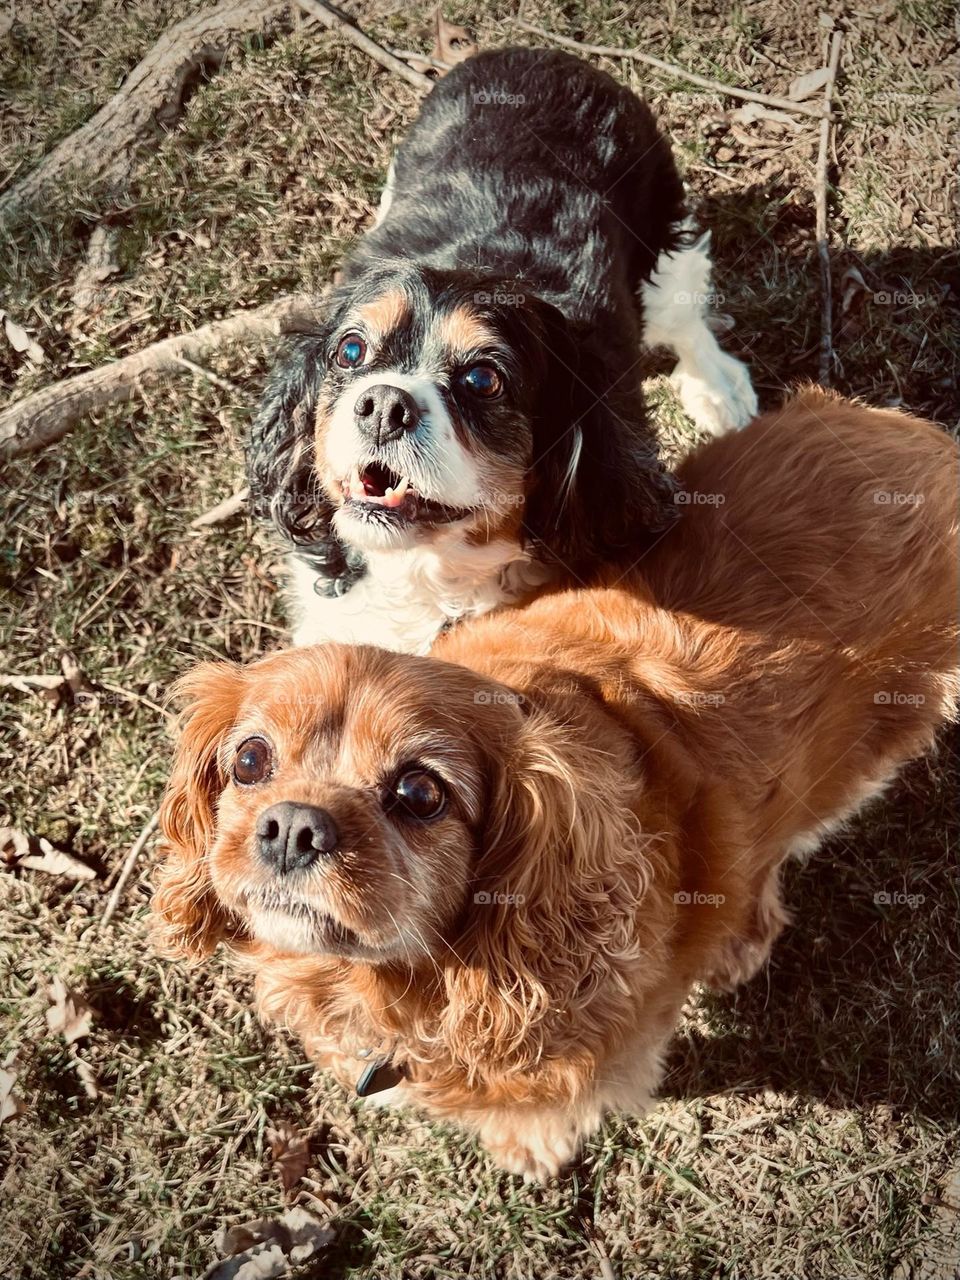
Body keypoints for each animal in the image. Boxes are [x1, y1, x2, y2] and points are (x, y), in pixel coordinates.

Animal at [154, 386, 957, 1177]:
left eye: (420, 794)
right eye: (249, 760)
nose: (293, 826)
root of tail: (923, 441)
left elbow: (545, 1107)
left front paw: (529, 1145)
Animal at [249, 47, 757, 650]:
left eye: (483, 380)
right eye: (351, 351)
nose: (383, 407)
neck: (428, 579)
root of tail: (540, 55)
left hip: (663, 233)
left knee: (684, 315)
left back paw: (720, 391)